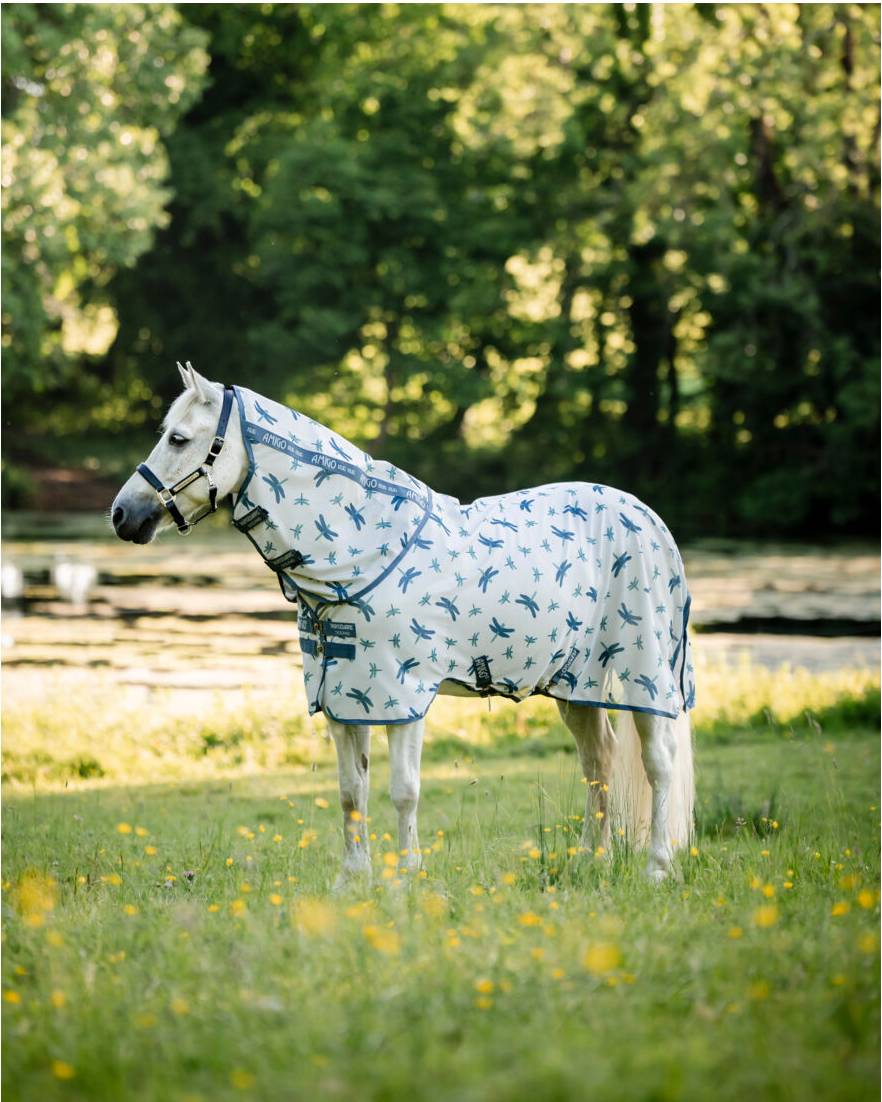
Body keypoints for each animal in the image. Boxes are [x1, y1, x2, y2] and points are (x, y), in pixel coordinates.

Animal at [112, 363, 695, 884]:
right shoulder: (343, 698)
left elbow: (404, 790)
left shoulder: (403, 694)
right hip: (577, 685)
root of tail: (648, 518)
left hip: (643, 676)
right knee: (599, 762)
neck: (363, 553)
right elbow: (351, 791)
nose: (122, 515)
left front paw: (407, 877)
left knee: (658, 764)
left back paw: (657, 868)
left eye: (180, 439)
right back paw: (591, 862)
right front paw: (353, 880)